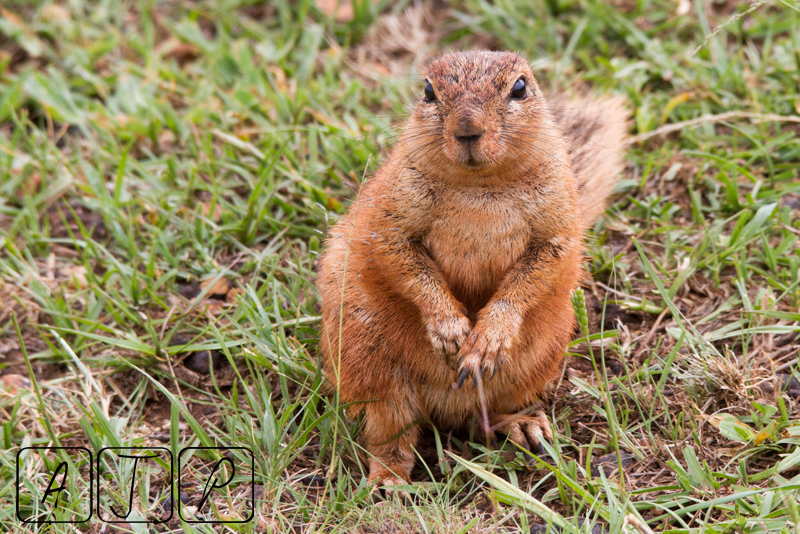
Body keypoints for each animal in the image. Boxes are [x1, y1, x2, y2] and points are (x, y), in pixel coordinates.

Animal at [315, 51, 628, 490]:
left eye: (520, 87)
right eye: (428, 90)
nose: (467, 128)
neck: (479, 186)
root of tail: (448, 405)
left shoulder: (558, 223)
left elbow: (536, 273)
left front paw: (488, 337)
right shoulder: (390, 219)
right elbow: (404, 263)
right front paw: (449, 329)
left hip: (539, 358)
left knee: (488, 416)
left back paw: (522, 424)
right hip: (371, 366)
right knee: (391, 435)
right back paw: (387, 481)